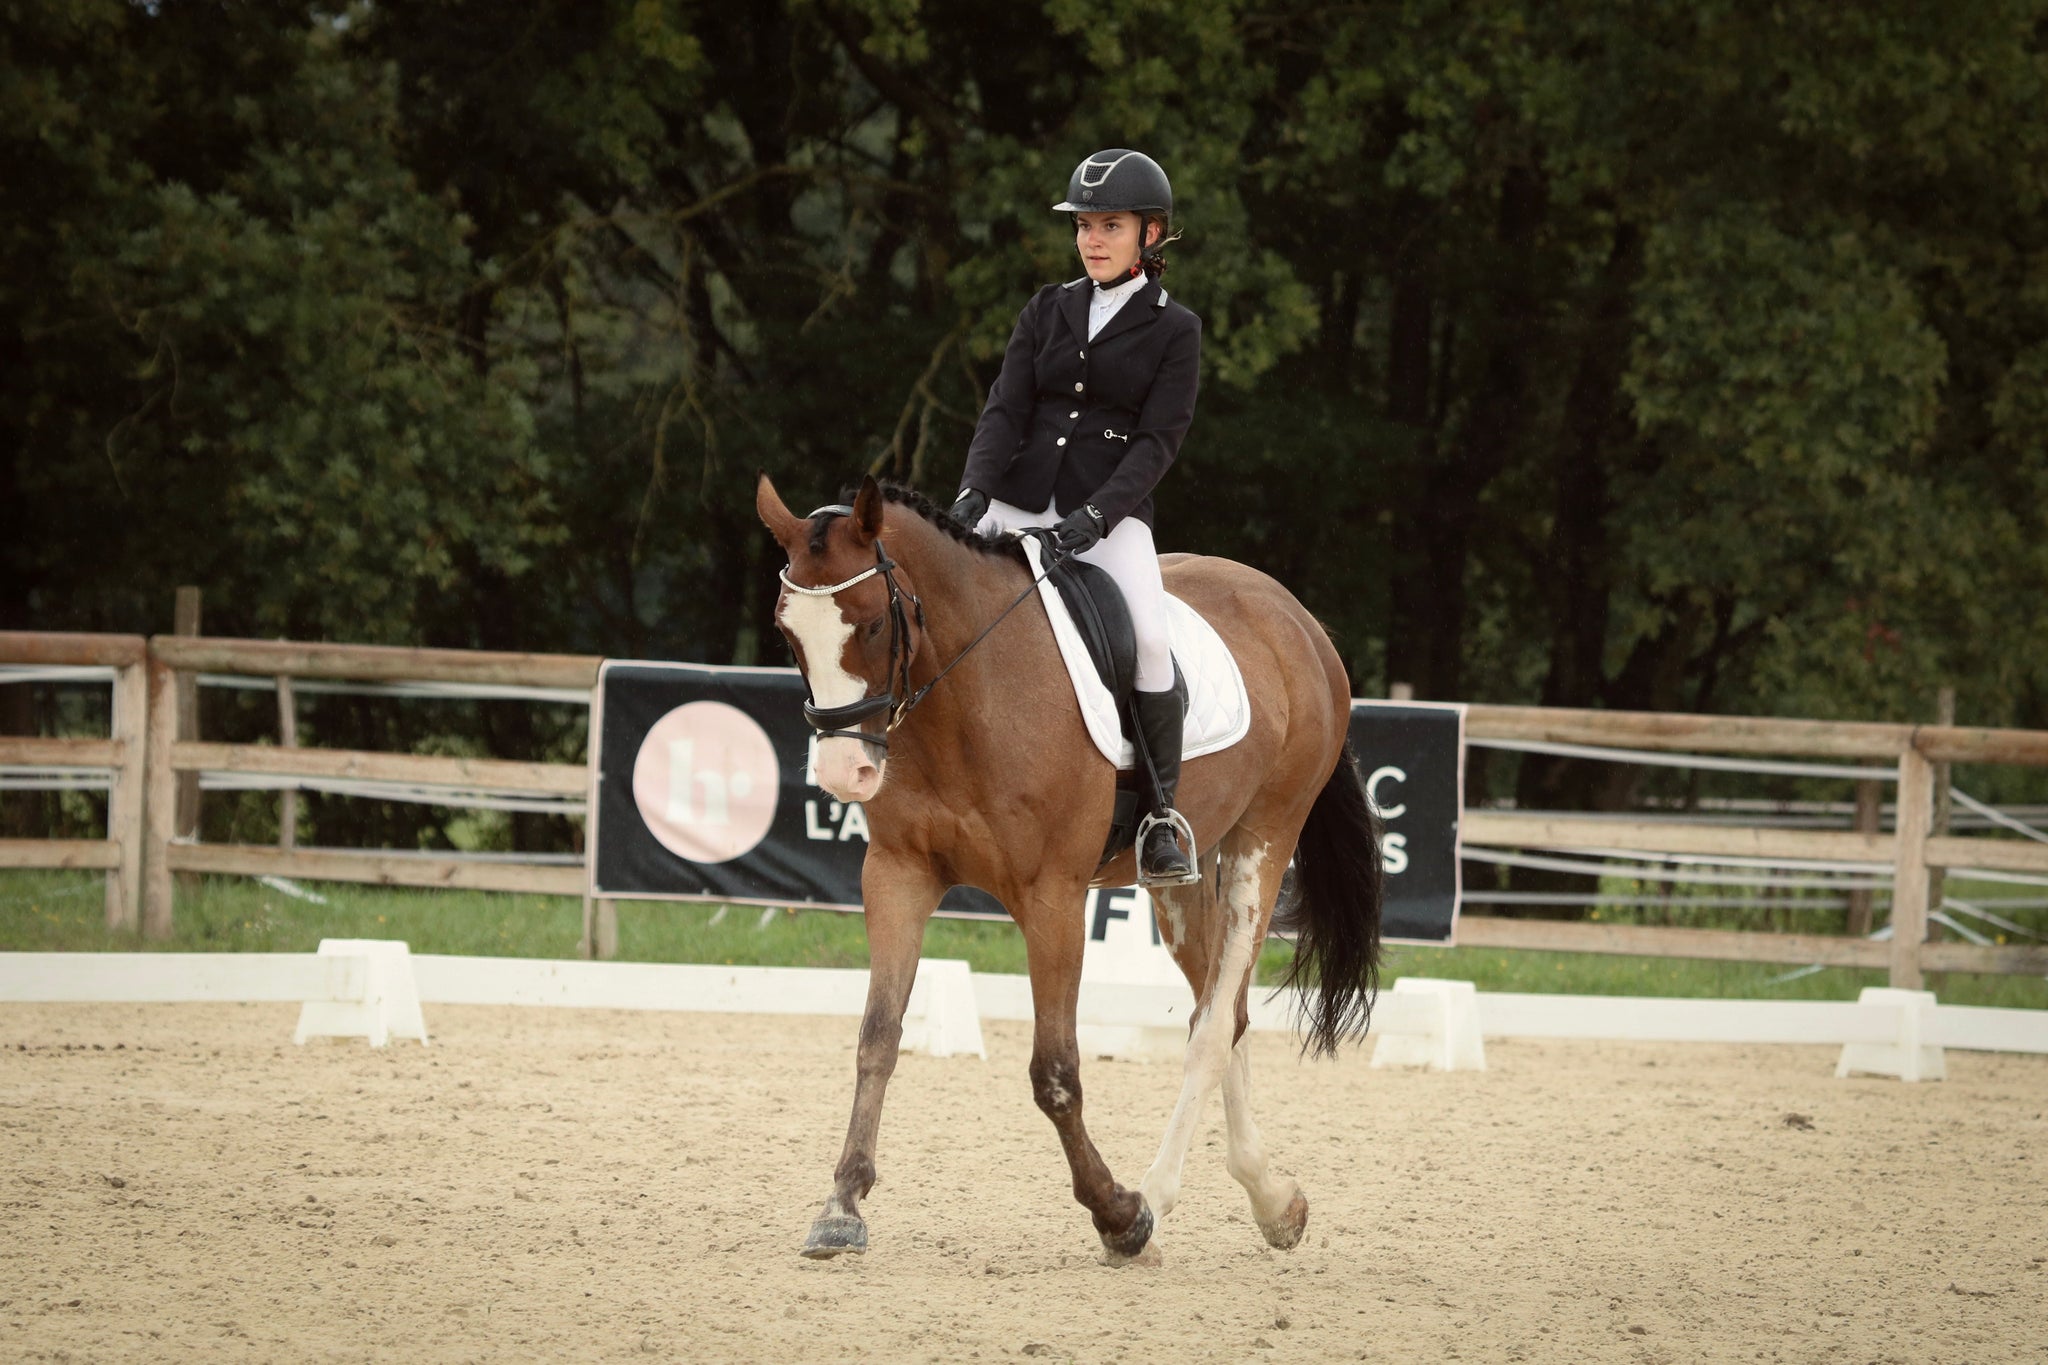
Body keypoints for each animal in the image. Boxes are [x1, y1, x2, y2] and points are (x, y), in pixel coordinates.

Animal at [755, 472, 1383, 1262]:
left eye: (870, 624)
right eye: (788, 633)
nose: (845, 772)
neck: (968, 690)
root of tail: (1294, 615)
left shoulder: (1051, 897)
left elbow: (1053, 1071)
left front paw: (1117, 1213)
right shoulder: (897, 875)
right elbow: (877, 1038)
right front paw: (841, 1205)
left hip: (1263, 840)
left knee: (1212, 1028)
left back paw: (1158, 1198)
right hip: (1182, 879)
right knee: (1227, 1012)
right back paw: (1275, 1202)